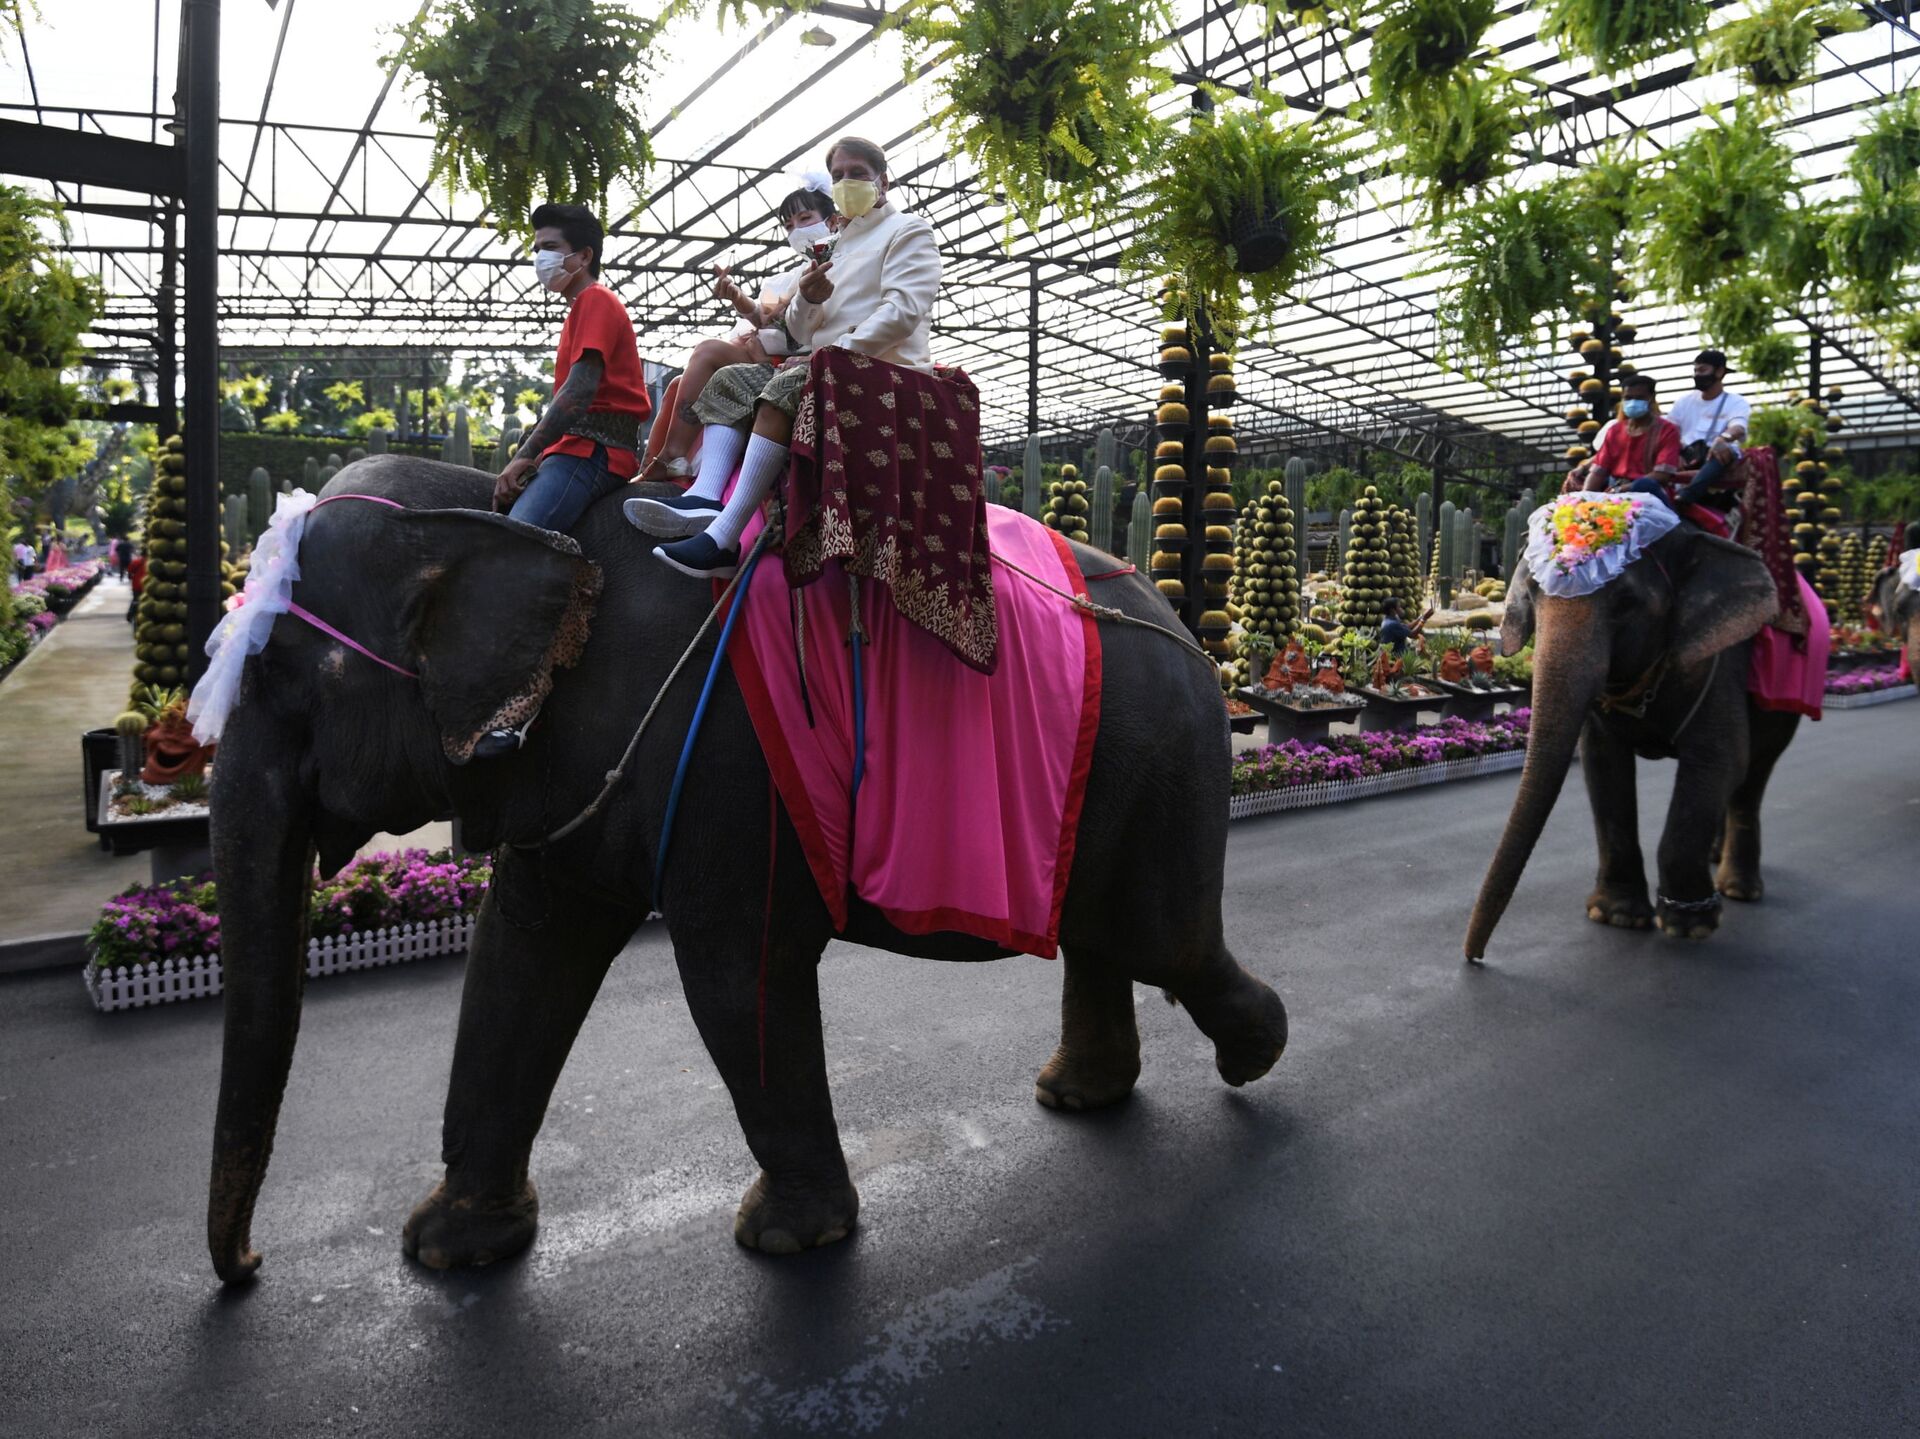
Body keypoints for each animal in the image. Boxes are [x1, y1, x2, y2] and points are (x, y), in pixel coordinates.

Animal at [205, 456, 1289, 1284]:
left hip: (1163, 760)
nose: (250, 1269)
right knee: (1106, 933)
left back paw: (1257, 1052)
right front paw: (447, 1247)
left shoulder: (732, 763)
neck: (499, 507)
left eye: (284, 674)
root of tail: (1193, 630)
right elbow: (518, 960)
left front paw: (788, 1238)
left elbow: (736, 974)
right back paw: (1079, 1093)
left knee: (1165, 938)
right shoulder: (568, 781)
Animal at [1464, 523, 1799, 959]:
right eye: (1533, 592)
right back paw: (1715, 857)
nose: (1474, 957)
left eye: (1626, 603)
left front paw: (1689, 925)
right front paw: (1617, 916)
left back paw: (1738, 889)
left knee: (1753, 774)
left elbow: (1721, 759)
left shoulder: (1719, 662)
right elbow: (1603, 763)